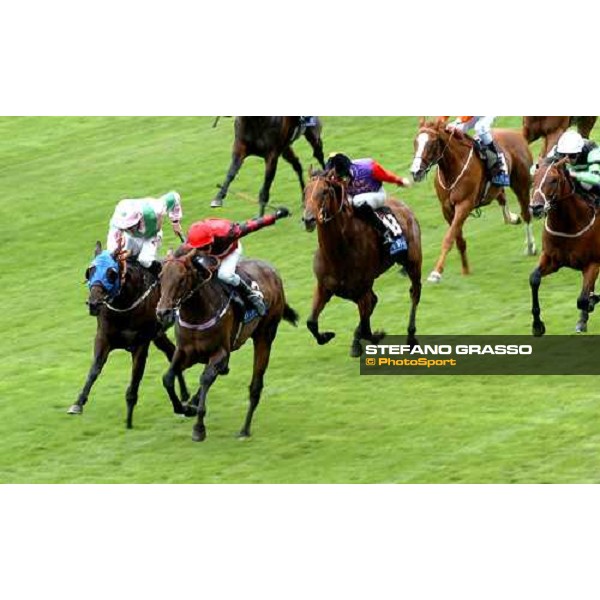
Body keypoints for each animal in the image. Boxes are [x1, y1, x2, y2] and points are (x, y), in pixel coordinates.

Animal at [70, 241, 189, 428]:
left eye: (111, 273)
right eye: (90, 271)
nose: (93, 303)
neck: (124, 307)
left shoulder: (141, 343)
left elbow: (135, 379)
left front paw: (129, 419)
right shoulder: (103, 338)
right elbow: (94, 369)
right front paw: (78, 403)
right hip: (158, 335)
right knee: (171, 353)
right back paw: (184, 395)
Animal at [156, 248, 298, 440]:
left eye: (182, 278)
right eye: (161, 276)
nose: (162, 313)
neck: (198, 313)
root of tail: (273, 271)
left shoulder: (220, 352)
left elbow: (205, 379)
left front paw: (198, 428)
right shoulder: (186, 351)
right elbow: (168, 377)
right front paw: (183, 407)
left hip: (265, 335)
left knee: (255, 387)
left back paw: (244, 429)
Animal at [300, 169, 422, 356]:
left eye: (325, 191)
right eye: (305, 191)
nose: (309, 219)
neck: (337, 253)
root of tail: (403, 206)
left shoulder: (361, 290)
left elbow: (366, 328)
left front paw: (377, 335)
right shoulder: (324, 287)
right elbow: (311, 322)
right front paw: (327, 336)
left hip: (413, 262)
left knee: (415, 293)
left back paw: (410, 337)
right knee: (375, 301)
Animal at [412, 119, 536, 286]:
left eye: (431, 143)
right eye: (415, 142)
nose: (415, 172)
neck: (453, 168)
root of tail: (517, 134)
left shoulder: (464, 205)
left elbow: (449, 238)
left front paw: (436, 273)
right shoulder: (446, 209)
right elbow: (458, 240)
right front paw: (465, 270)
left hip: (521, 184)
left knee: (526, 214)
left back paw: (530, 246)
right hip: (497, 188)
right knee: (502, 197)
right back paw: (512, 218)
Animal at [528, 157, 600, 336]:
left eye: (553, 180)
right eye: (533, 179)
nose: (536, 207)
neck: (568, 225)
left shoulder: (593, 263)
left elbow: (582, 299)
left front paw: (591, 302)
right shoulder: (551, 259)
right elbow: (534, 279)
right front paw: (537, 325)